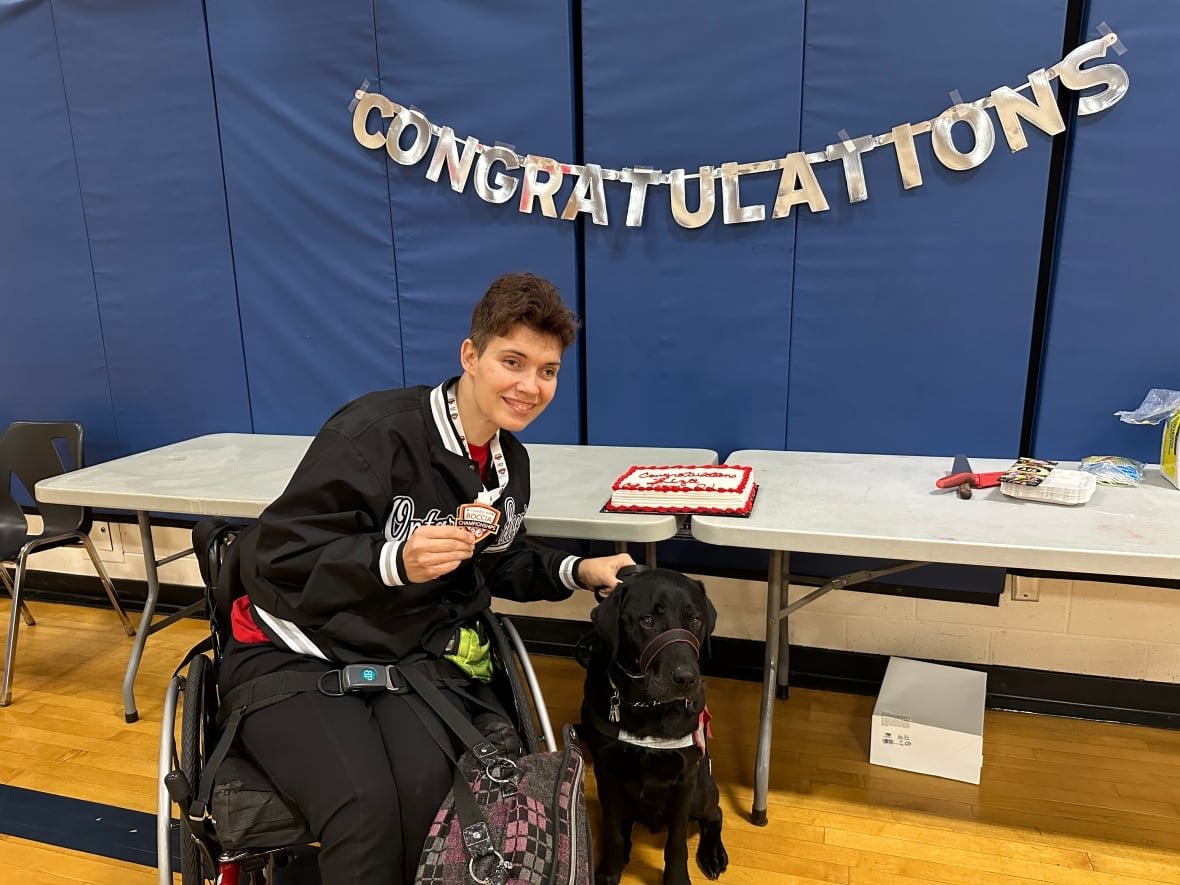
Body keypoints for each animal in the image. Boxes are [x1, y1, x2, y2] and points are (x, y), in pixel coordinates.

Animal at [575, 568, 722, 885]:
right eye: (647, 620)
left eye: (696, 619)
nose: (686, 678)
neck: (646, 706)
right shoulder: (607, 771)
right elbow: (613, 831)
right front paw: (609, 870)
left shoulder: (685, 778)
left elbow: (676, 842)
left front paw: (677, 878)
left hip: (701, 790)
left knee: (714, 813)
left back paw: (713, 854)